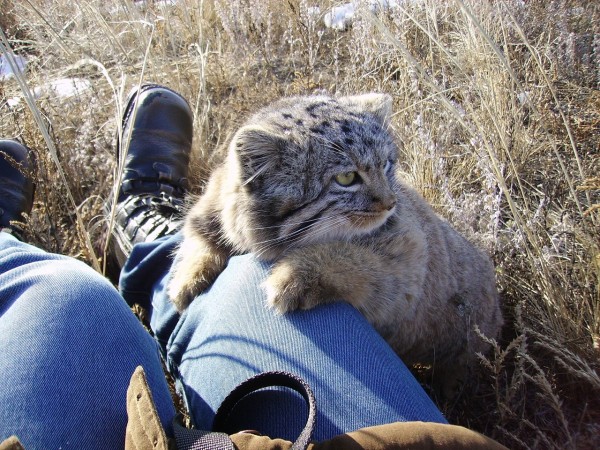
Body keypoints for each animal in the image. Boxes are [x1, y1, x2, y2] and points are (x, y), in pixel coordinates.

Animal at [169, 92, 502, 386]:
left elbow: (352, 256)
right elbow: (198, 234)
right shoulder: (214, 203)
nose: (390, 203)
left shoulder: (409, 256)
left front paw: (294, 275)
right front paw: (186, 279)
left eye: (386, 164)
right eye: (346, 178)